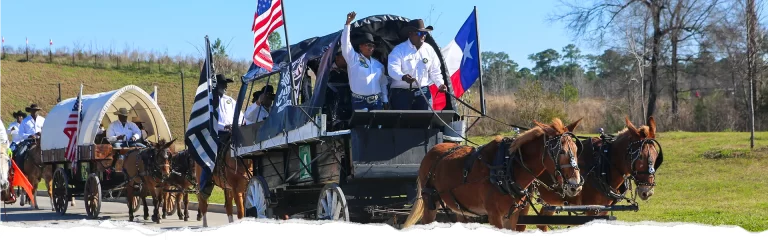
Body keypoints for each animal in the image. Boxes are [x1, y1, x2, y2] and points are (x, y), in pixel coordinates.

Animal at [400, 118, 584, 231]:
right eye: (561, 152)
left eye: (576, 149)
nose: (575, 185)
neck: (508, 168)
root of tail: (432, 150)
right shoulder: (494, 215)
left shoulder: (513, 215)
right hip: (430, 201)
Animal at [516, 117, 664, 232]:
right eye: (640, 156)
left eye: (656, 155)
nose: (647, 191)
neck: (603, 165)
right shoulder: (592, 209)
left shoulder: (604, 209)